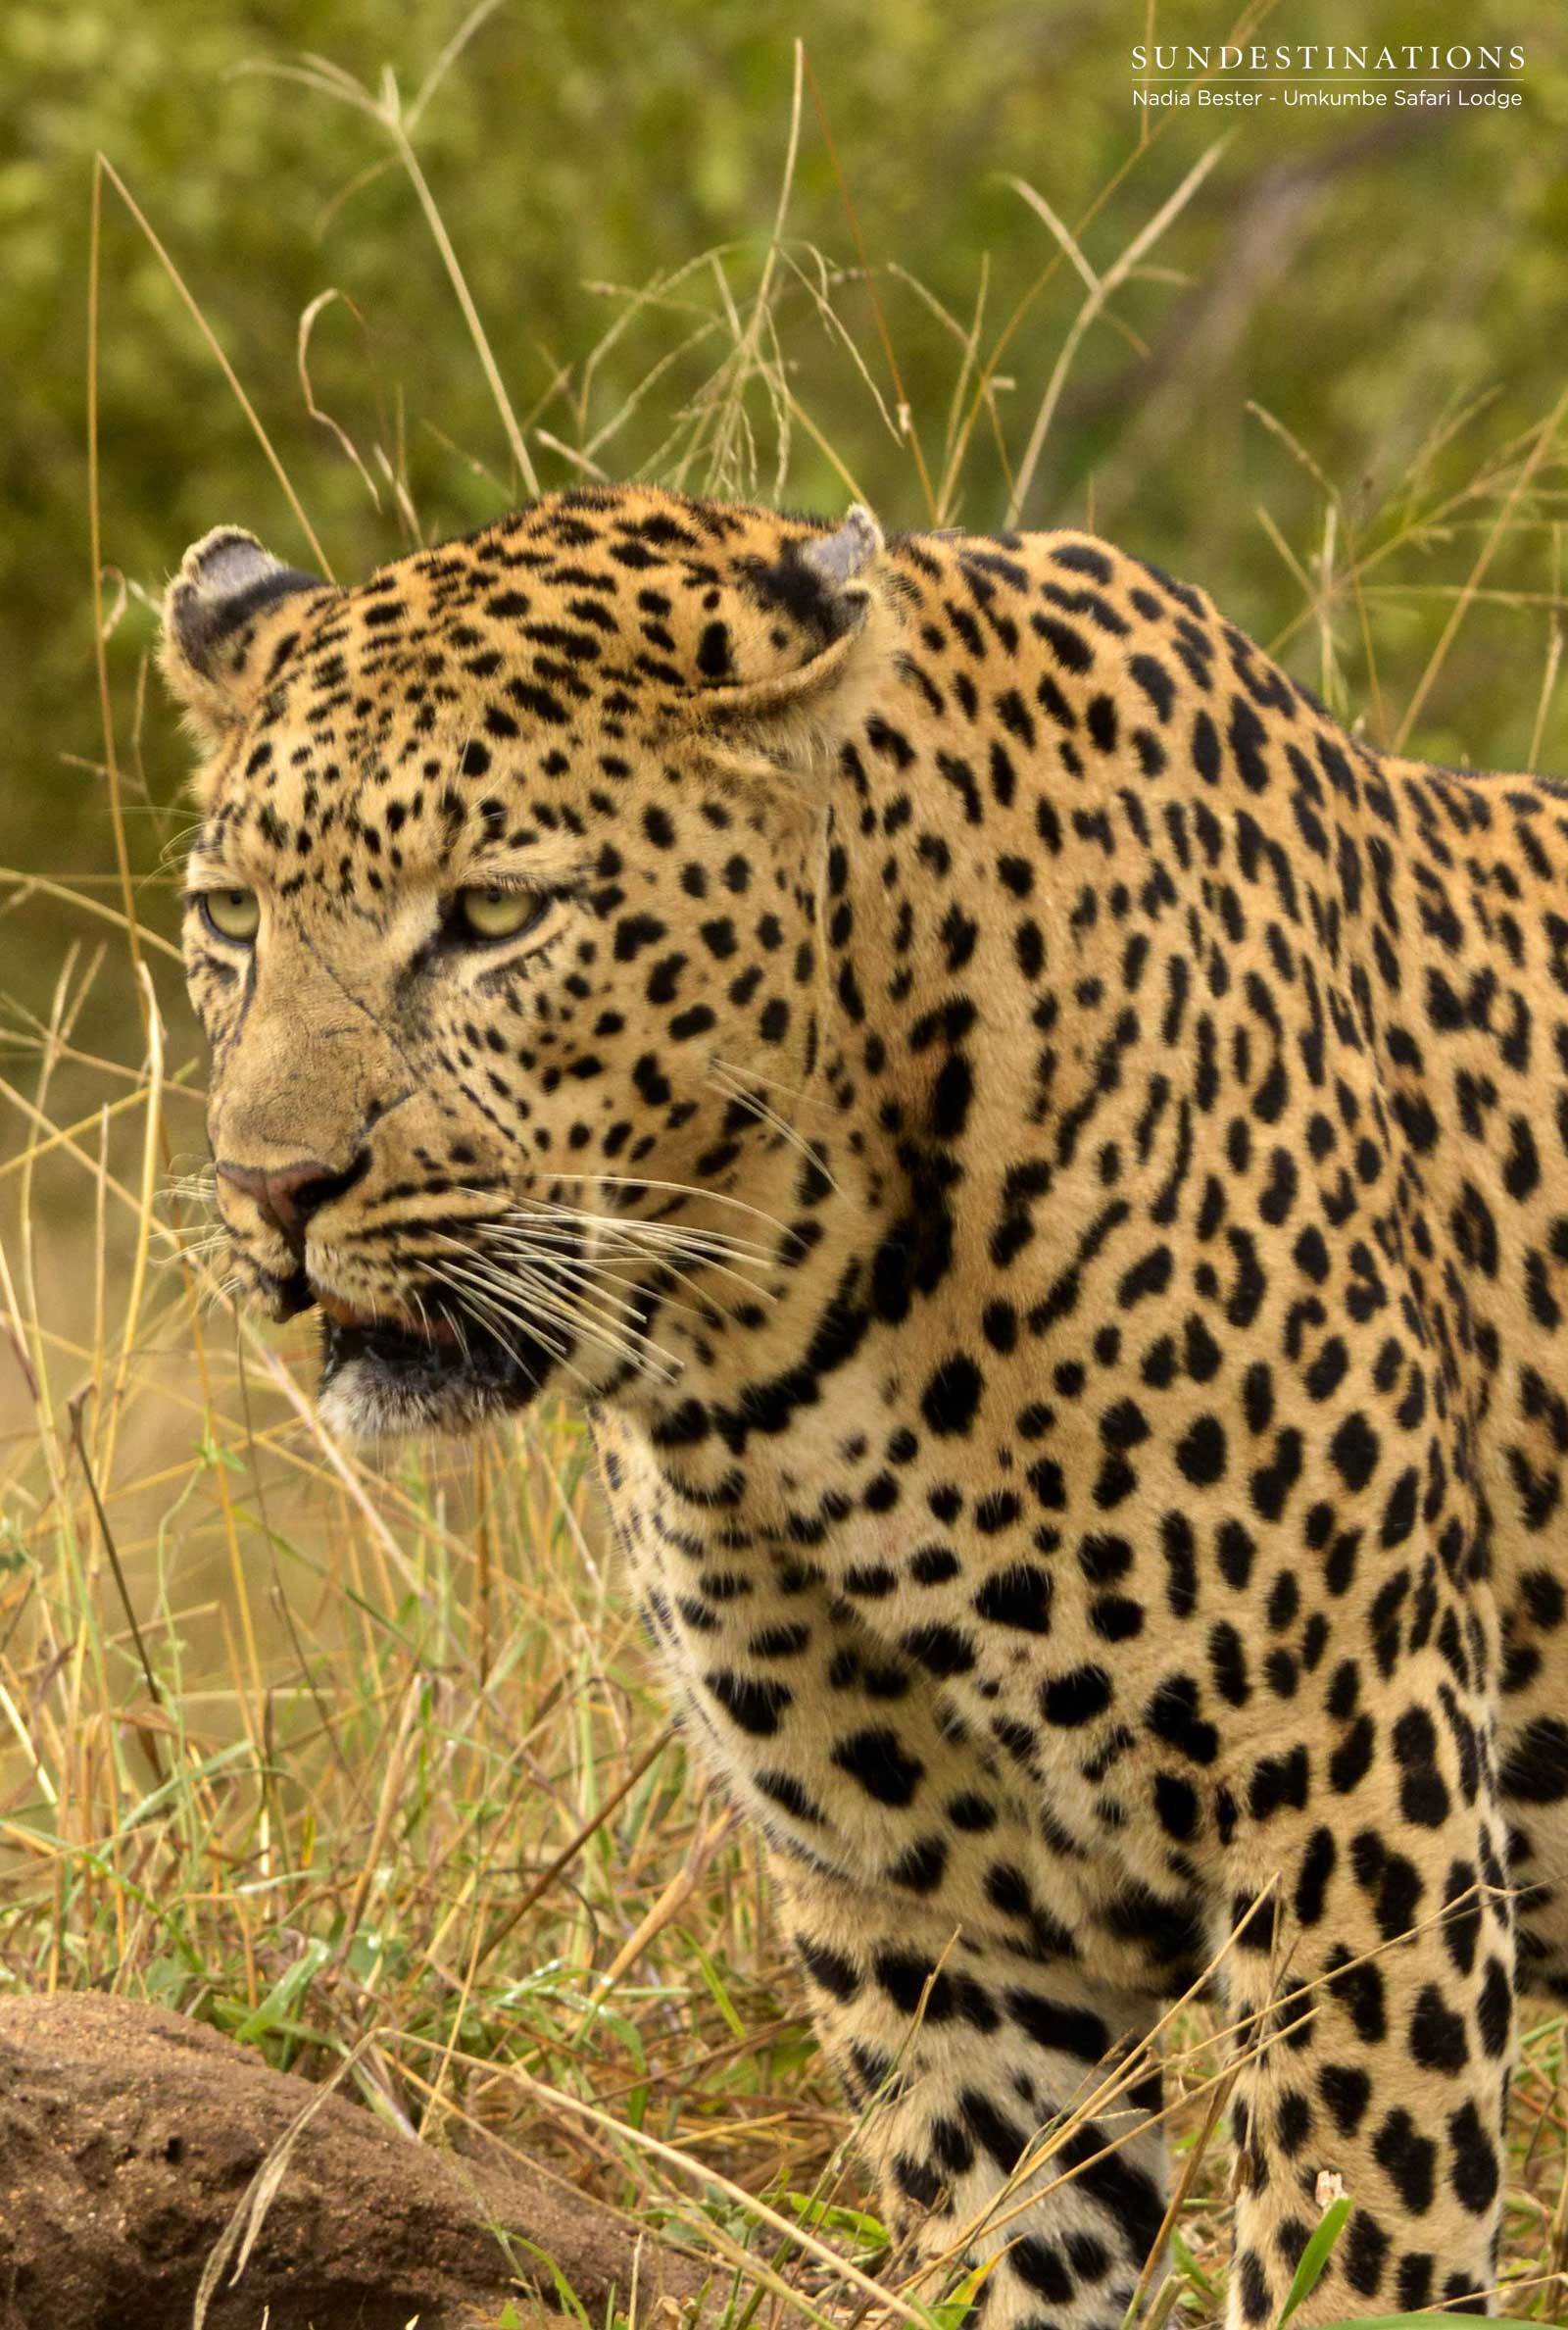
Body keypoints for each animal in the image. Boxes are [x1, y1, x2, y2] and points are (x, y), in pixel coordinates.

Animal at [159, 481, 1568, 2328]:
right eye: (230, 920)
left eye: (494, 915)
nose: (269, 1188)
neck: (779, 1347)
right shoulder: (936, 1924)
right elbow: (1012, 2256)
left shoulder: (1350, 1795)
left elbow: (1353, 2249)